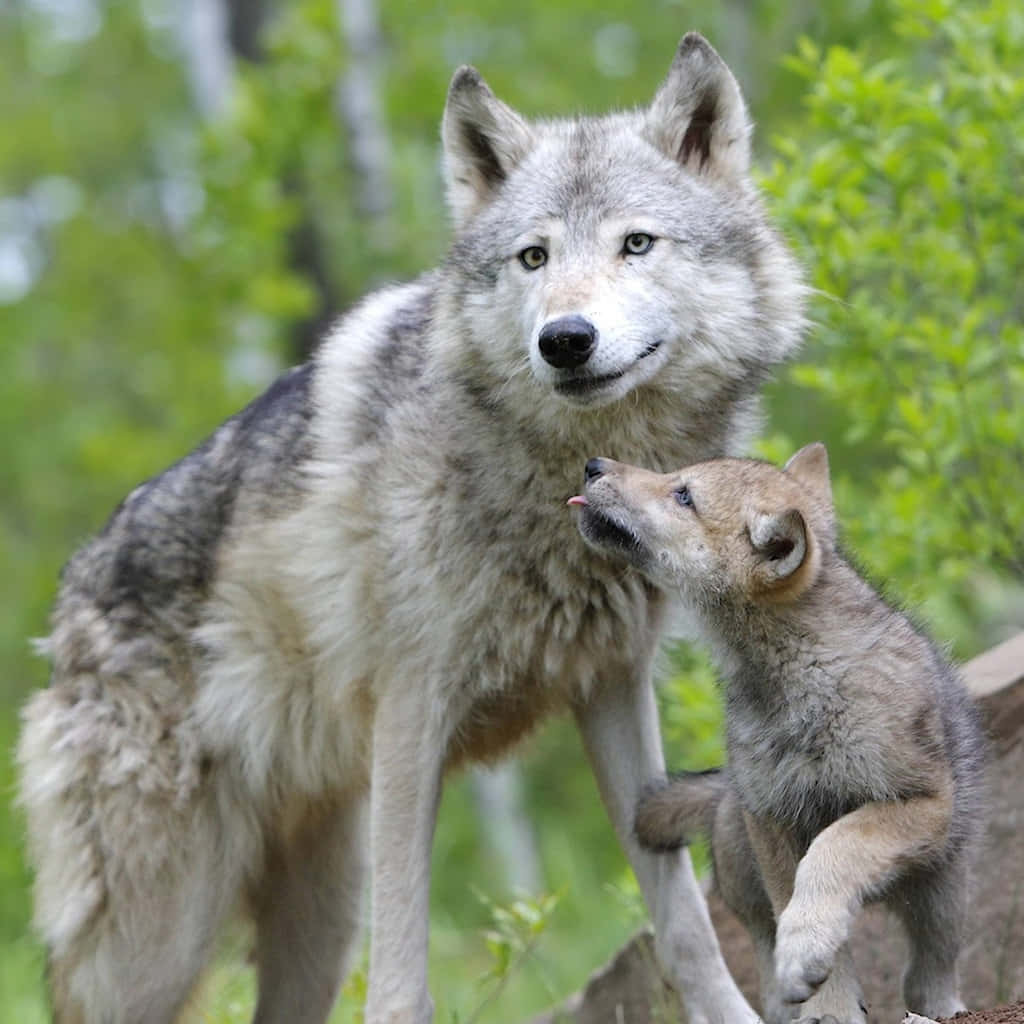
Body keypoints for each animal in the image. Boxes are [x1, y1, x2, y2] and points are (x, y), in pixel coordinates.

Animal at [14, 32, 798, 1024]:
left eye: (636, 244)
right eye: (533, 257)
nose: (565, 340)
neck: (555, 483)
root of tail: (68, 604)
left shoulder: (613, 688)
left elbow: (685, 926)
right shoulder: (412, 713)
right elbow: (400, 980)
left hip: (317, 913)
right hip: (159, 938)